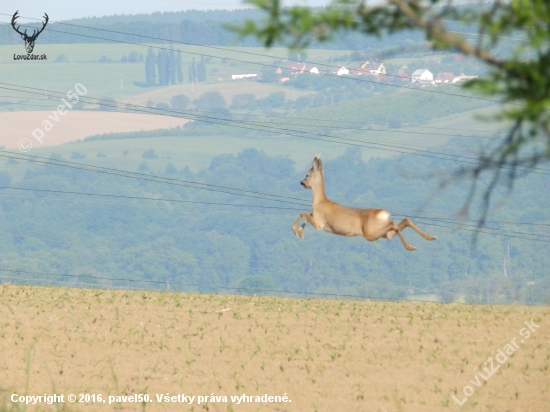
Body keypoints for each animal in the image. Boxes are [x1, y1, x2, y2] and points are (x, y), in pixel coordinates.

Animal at [294, 155, 440, 249]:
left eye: (307, 175)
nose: (301, 183)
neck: (319, 201)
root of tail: (384, 213)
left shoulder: (319, 223)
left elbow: (303, 212)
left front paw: (295, 230)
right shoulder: (316, 218)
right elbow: (306, 214)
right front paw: (300, 232)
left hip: (370, 233)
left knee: (394, 224)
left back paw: (410, 246)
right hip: (382, 233)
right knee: (402, 222)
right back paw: (430, 238)